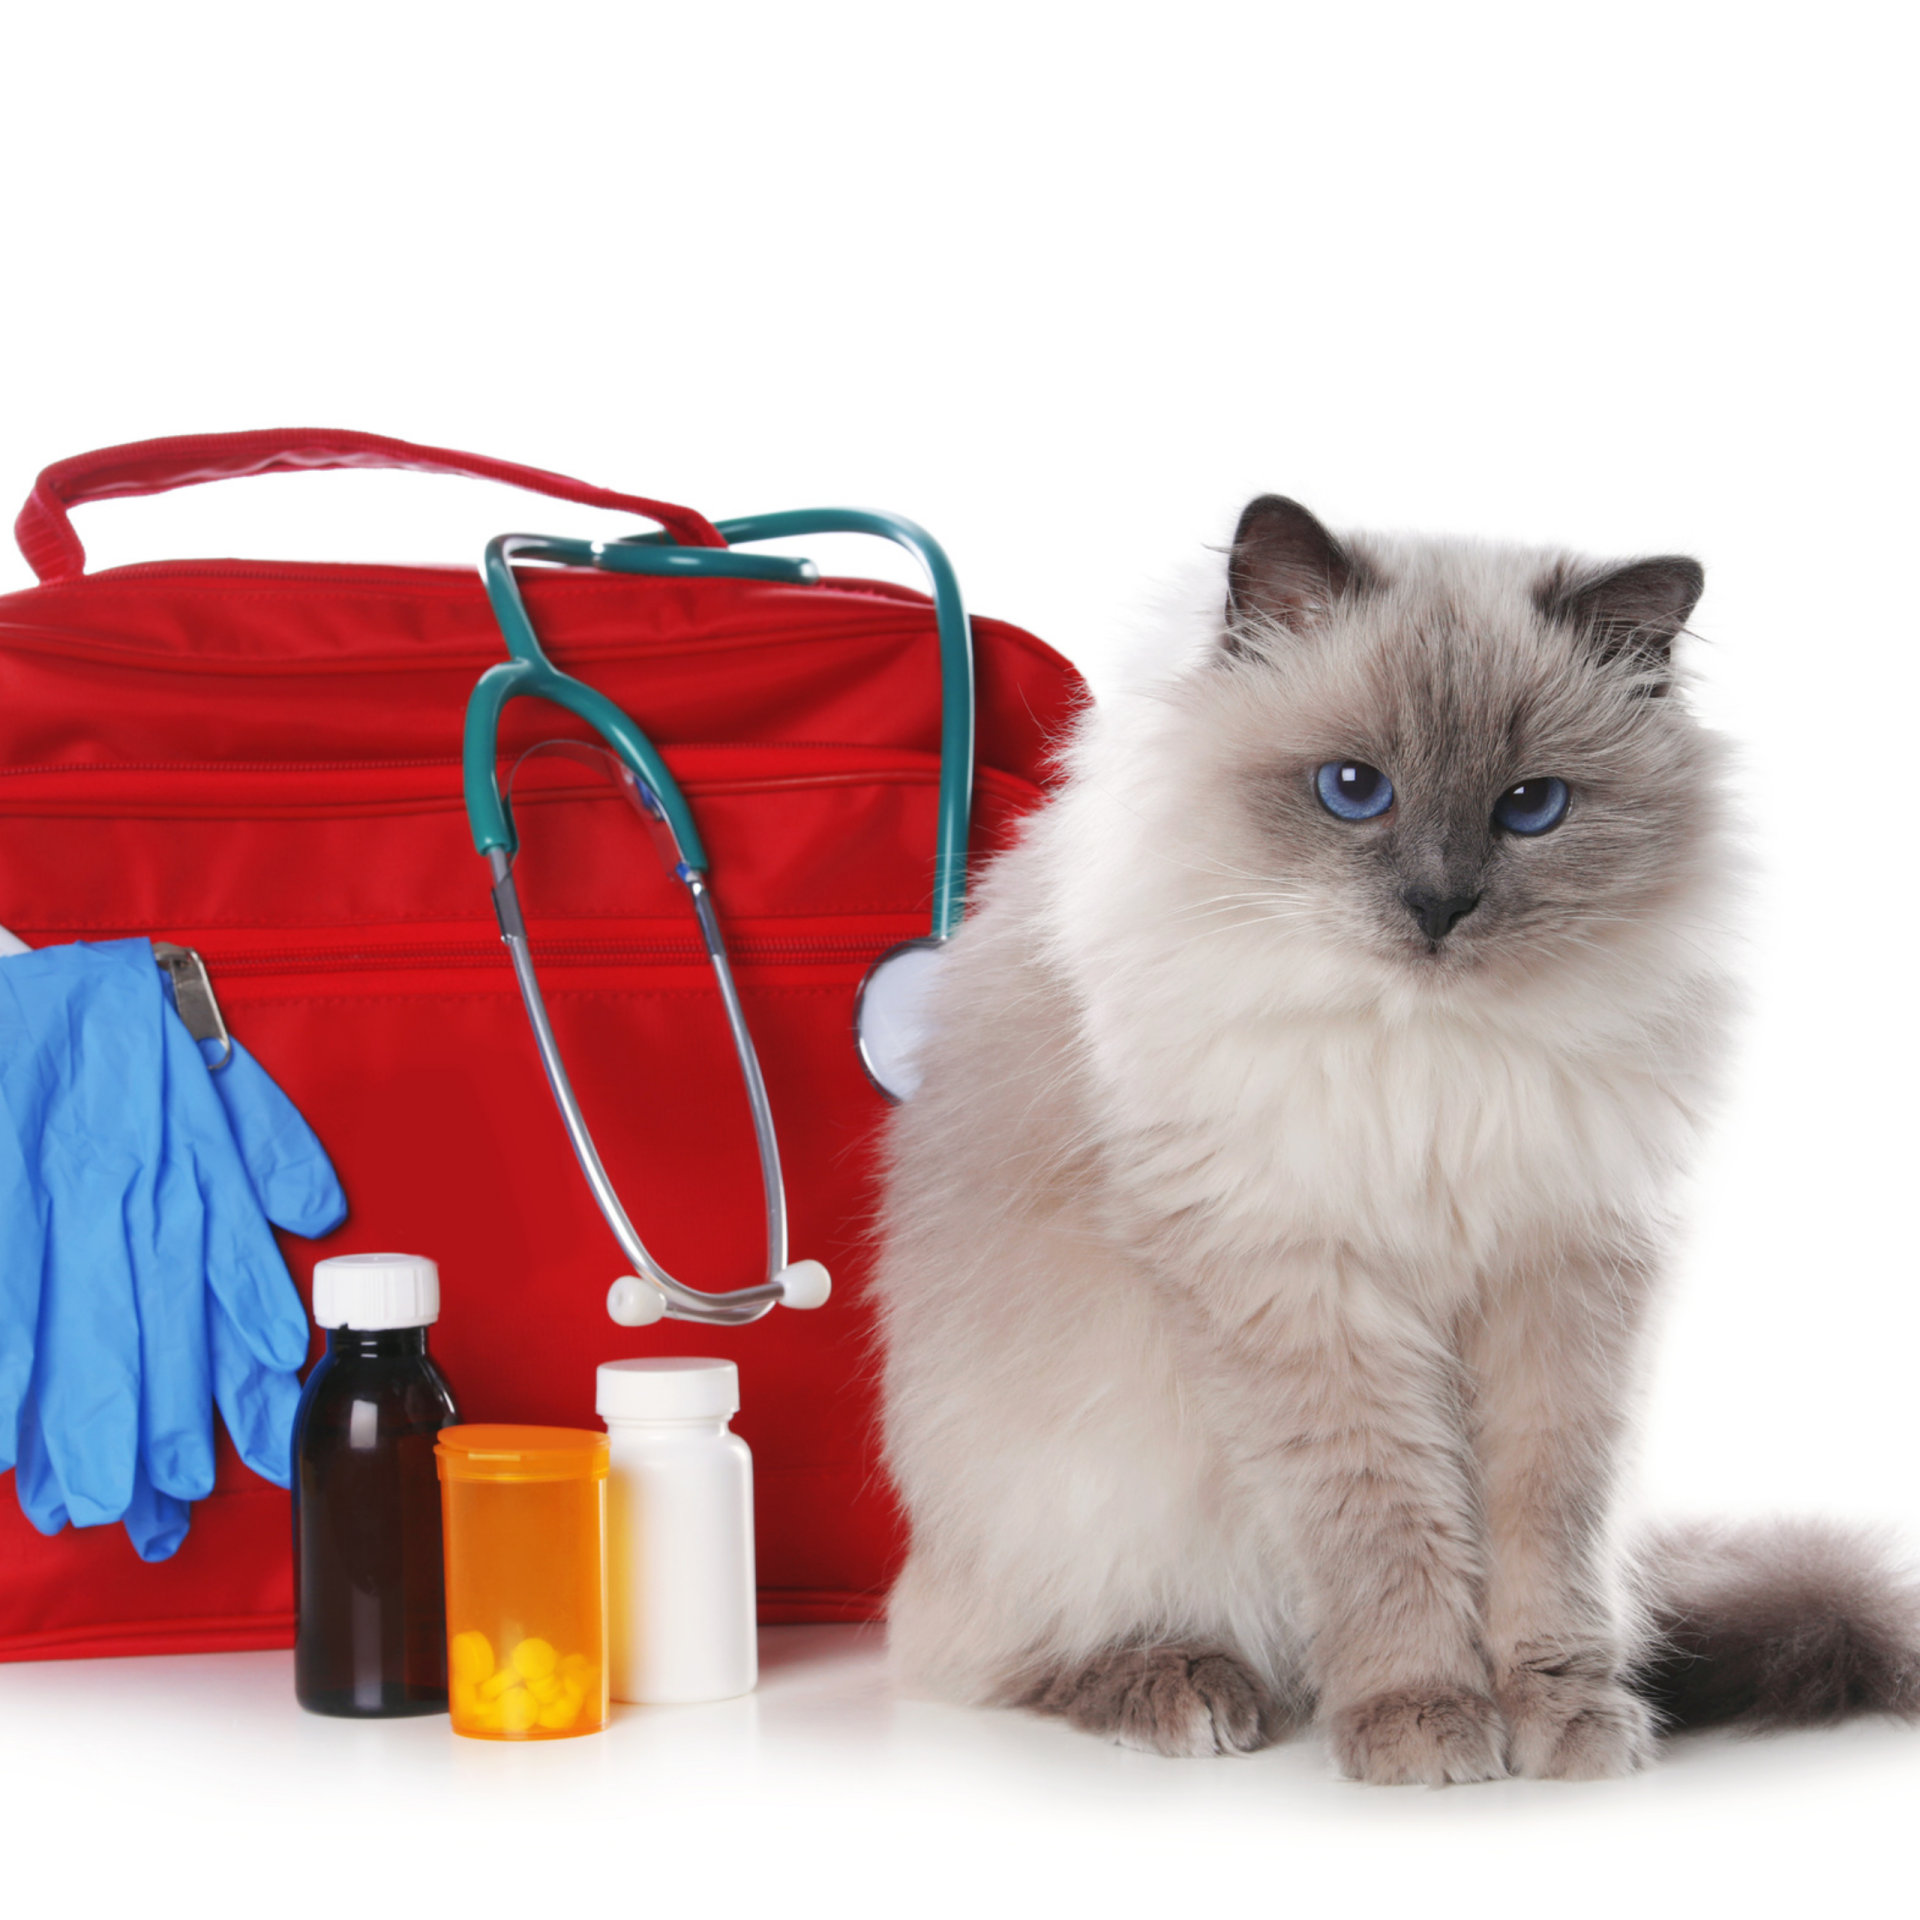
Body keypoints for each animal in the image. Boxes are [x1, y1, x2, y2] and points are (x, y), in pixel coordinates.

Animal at [875, 499, 1920, 1781]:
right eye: (1351, 789)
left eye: (1531, 806)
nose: (1439, 905)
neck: (1432, 1062)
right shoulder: (1308, 1295)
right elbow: (1386, 1534)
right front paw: (1422, 1721)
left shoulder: (1559, 1285)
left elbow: (1544, 1541)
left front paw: (1563, 1721)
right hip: (1080, 1495)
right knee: (1011, 1657)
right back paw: (1186, 1689)